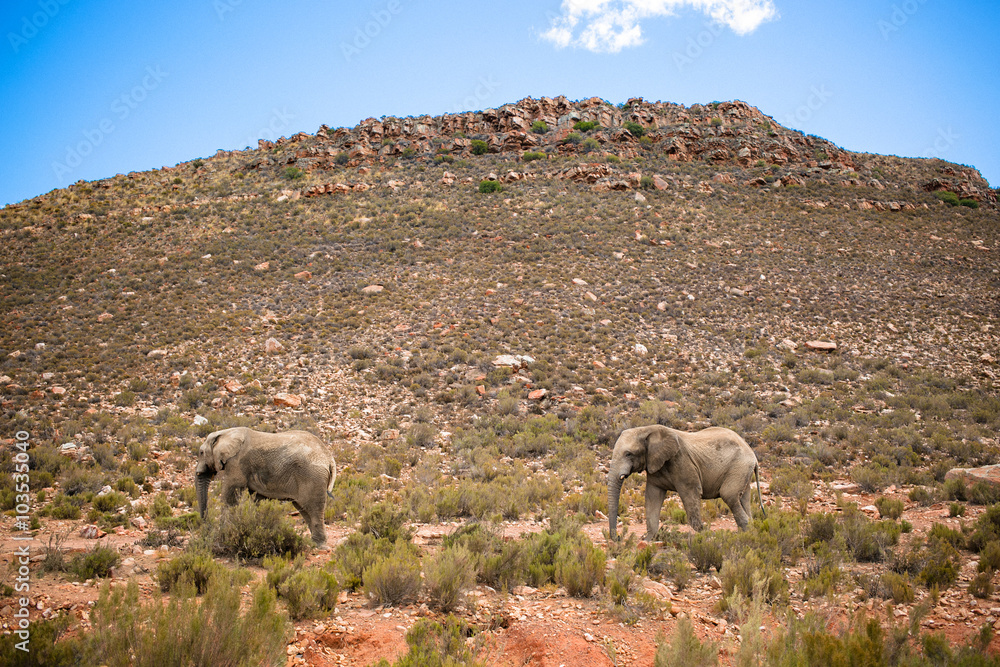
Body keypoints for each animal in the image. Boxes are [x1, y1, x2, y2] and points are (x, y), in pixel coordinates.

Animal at [195, 427, 336, 547]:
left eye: (201, 452)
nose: (206, 526)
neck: (226, 432)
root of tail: (329, 458)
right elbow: (258, 499)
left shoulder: (237, 463)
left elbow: (230, 496)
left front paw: (224, 536)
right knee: (304, 508)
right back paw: (312, 542)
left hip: (312, 476)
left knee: (314, 509)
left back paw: (319, 545)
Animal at [607, 425, 765, 541]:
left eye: (628, 454)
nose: (619, 537)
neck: (647, 429)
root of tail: (753, 455)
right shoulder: (654, 466)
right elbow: (653, 497)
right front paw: (648, 540)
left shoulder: (682, 461)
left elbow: (691, 493)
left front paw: (706, 535)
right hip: (743, 471)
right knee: (743, 499)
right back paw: (750, 531)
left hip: (739, 466)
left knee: (729, 495)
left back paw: (746, 534)